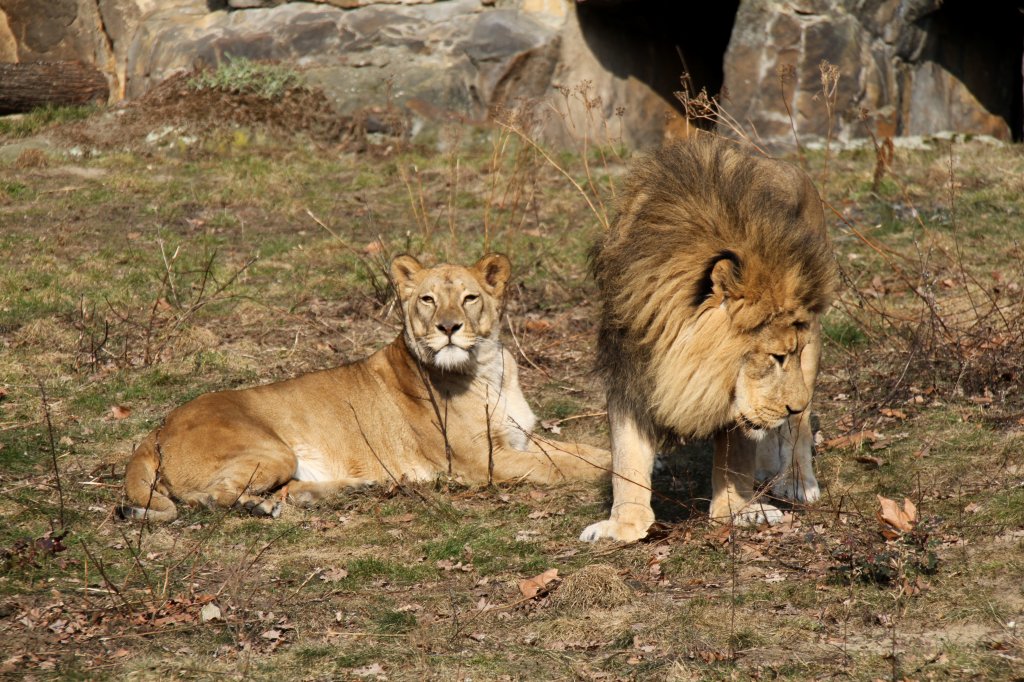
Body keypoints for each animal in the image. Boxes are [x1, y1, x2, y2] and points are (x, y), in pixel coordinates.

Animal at [116, 251, 610, 518]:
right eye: (428, 299)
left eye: (470, 297)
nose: (449, 327)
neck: (488, 369)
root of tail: (155, 429)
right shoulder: (482, 463)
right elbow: (561, 467)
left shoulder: (520, 440)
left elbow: (586, 451)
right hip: (273, 451)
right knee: (213, 498)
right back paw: (264, 506)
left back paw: (340, 489)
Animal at [581, 134, 835, 540]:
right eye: (775, 357)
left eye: (786, 356)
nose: (792, 406)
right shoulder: (629, 371)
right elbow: (626, 456)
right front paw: (624, 525)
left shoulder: (734, 390)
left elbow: (734, 457)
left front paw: (736, 511)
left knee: (797, 430)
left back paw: (798, 481)